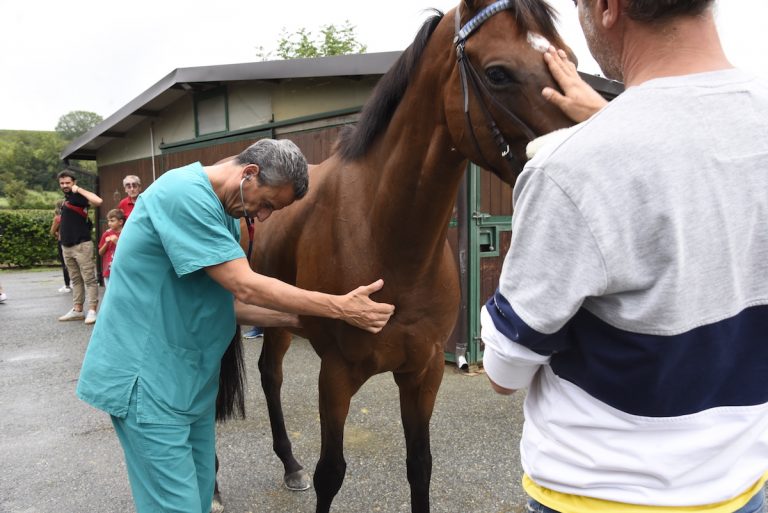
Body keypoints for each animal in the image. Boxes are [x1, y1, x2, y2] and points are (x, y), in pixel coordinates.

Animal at [222, 1, 576, 512]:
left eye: (569, 59)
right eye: (498, 72)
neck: (387, 242)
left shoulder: (423, 374)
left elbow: (420, 466)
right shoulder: (336, 375)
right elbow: (331, 473)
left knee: (270, 374)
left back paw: (289, 464)